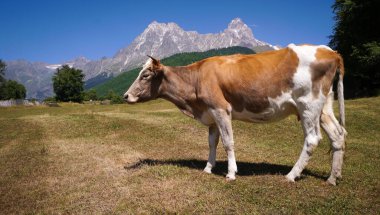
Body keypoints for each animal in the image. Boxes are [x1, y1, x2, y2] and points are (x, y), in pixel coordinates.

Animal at [124, 43, 348, 185]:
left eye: (145, 75)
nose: (126, 95)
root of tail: (330, 51)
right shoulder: (210, 114)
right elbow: (212, 142)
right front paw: (208, 168)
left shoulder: (221, 108)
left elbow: (227, 142)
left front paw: (231, 173)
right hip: (324, 107)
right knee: (337, 135)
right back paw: (333, 178)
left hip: (308, 104)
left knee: (312, 139)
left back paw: (292, 175)